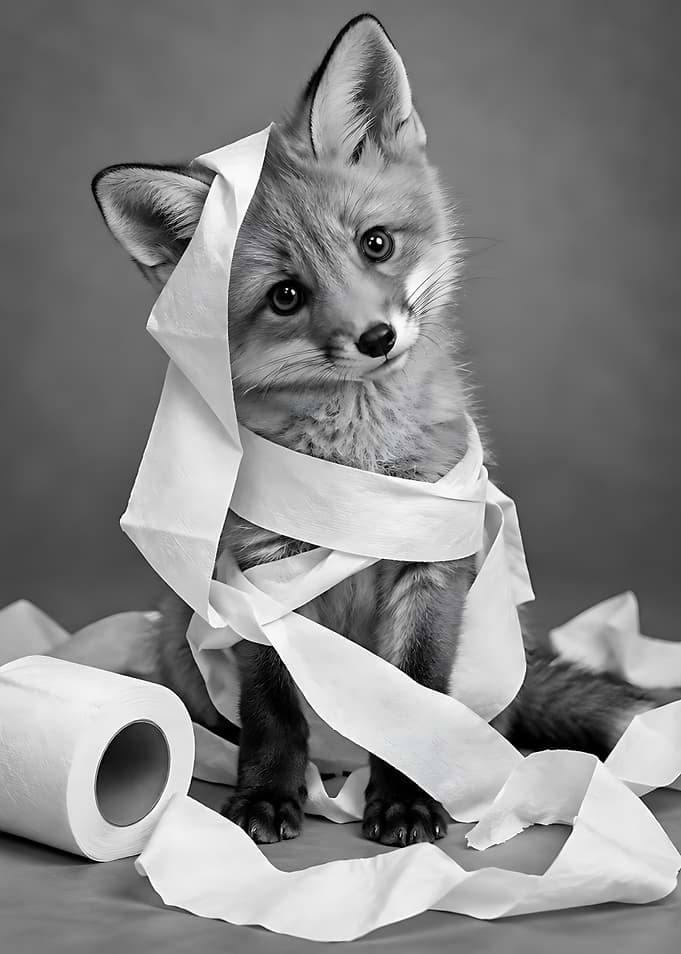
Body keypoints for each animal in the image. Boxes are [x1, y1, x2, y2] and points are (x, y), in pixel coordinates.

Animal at [92, 14, 667, 848]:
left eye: (375, 243)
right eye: (286, 296)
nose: (375, 338)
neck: (358, 449)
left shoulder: (429, 567)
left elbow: (414, 701)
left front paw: (402, 801)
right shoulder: (259, 577)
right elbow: (273, 712)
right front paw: (267, 796)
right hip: (182, 634)